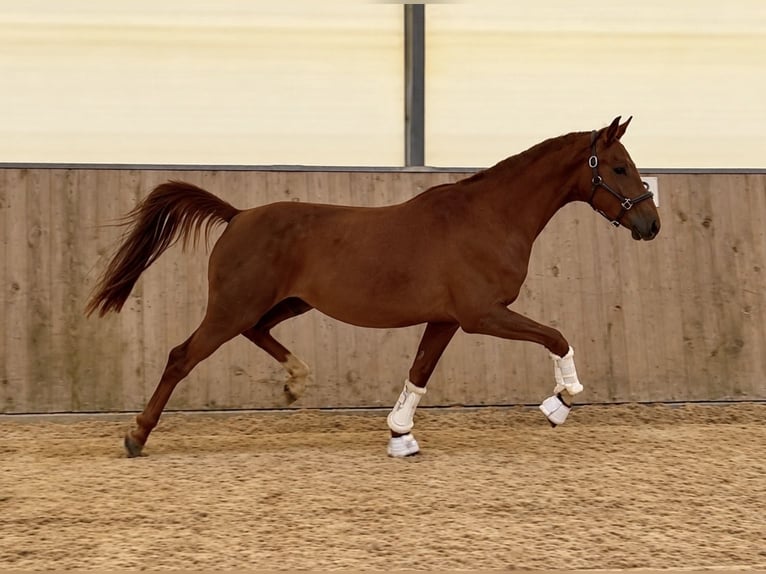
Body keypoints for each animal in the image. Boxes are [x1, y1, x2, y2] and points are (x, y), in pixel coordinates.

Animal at [86, 116, 659, 458]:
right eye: (618, 167)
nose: (651, 225)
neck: (489, 217)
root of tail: (239, 215)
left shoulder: (446, 319)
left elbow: (419, 373)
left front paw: (400, 434)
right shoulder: (481, 314)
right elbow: (556, 336)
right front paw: (561, 401)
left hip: (283, 304)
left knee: (257, 334)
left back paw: (296, 380)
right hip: (232, 308)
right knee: (181, 356)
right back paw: (136, 436)